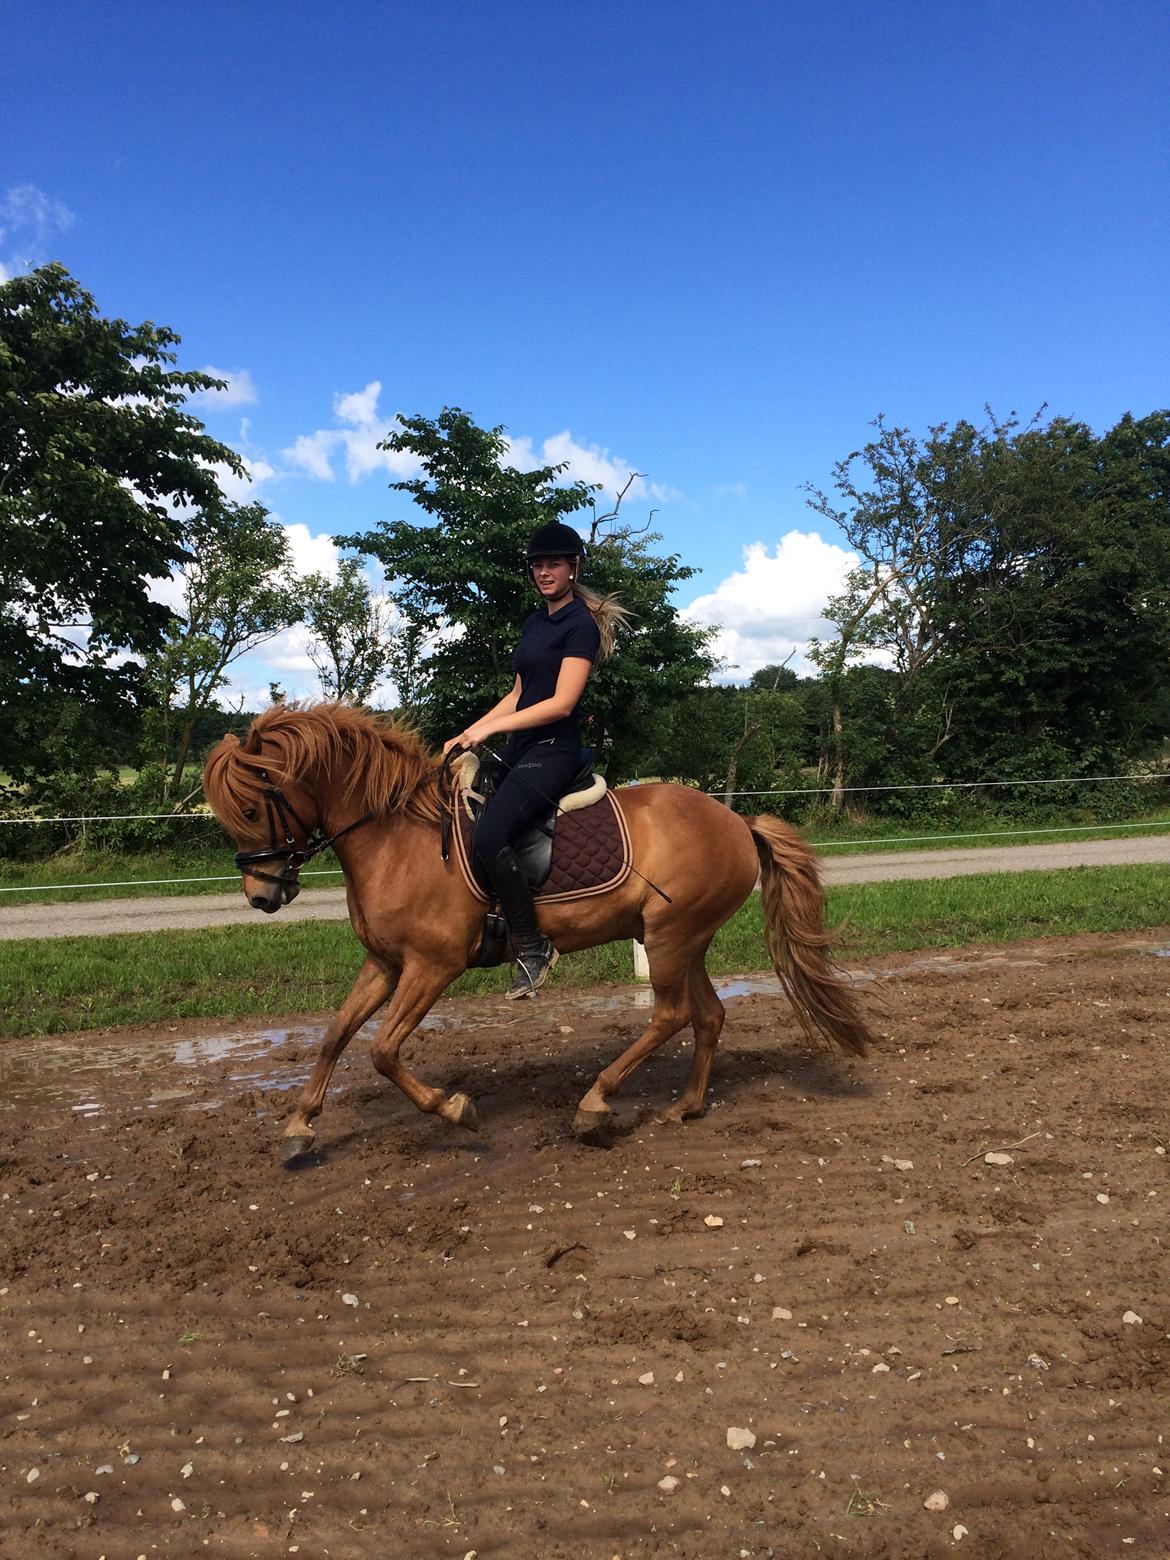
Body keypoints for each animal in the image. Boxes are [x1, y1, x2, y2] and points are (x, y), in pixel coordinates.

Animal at [204, 705, 879, 1160]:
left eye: (250, 808)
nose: (262, 896)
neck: (398, 837)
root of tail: (737, 820)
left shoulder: (432, 966)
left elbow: (383, 1051)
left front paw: (456, 1109)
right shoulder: (386, 964)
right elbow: (335, 1036)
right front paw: (299, 1127)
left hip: (669, 937)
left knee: (671, 1015)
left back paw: (595, 1104)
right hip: (684, 939)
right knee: (707, 1015)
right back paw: (685, 1106)